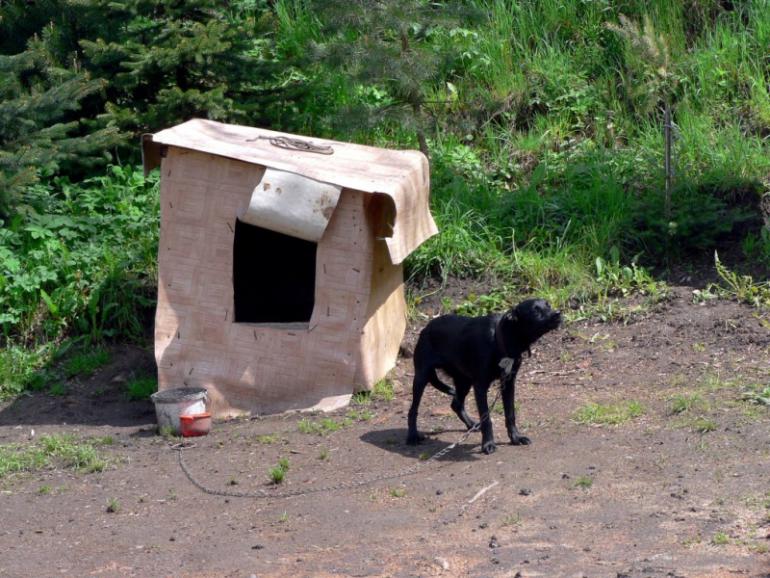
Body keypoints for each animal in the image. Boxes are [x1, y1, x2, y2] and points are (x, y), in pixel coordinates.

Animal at [407, 298, 561, 454]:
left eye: (548, 305)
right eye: (535, 311)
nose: (558, 313)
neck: (500, 339)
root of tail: (426, 328)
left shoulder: (508, 383)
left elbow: (510, 414)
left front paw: (516, 437)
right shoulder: (480, 386)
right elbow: (487, 418)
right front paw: (488, 444)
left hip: (464, 381)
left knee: (456, 404)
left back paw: (471, 425)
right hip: (421, 377)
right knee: (413, 410)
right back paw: (413, 436)